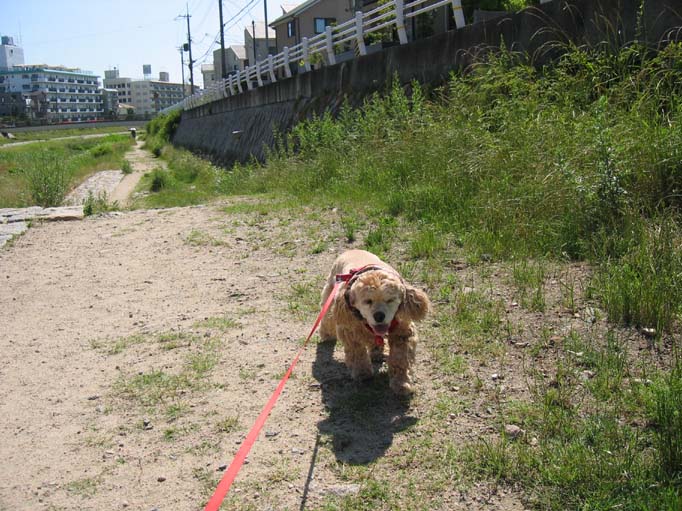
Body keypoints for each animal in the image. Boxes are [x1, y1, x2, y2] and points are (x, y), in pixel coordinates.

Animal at [320, 250, 430, 398]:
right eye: (368, 301)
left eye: (390, 300)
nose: (379, 316)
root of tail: (351, 250)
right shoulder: (349, 329)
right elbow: (357, 353)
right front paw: (362, 373)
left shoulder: (402, 330)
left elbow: (400, 358)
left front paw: (401, 383)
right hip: (330, 293)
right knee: (326, 316)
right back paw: (326, 335)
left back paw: (377, 352)